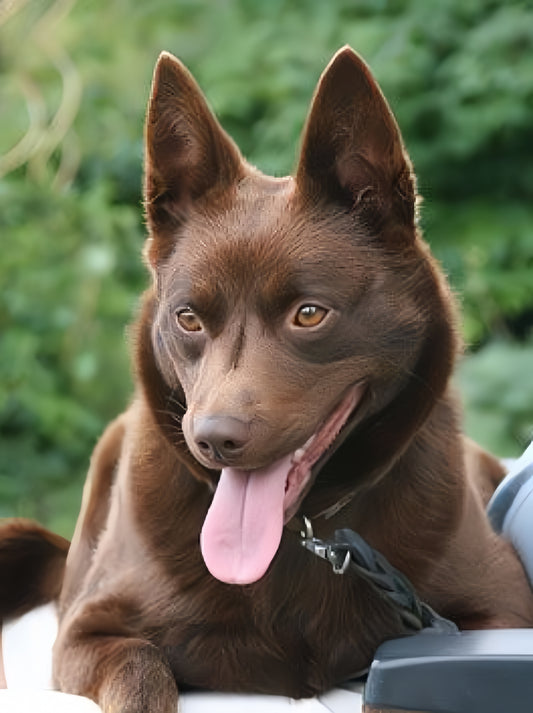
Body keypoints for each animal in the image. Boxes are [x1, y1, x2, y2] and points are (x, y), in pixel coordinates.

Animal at [1, 47, 532, 708]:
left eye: (308, 314)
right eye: (188, 318)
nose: (214, 440)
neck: (298, 536)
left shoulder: (501, 610)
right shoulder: (86, 630)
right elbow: (142, 667)